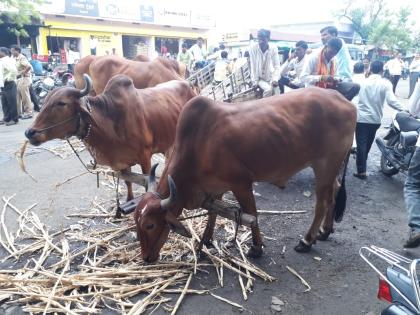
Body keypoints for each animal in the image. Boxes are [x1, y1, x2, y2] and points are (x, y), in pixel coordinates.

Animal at [25, 74, 199, 202]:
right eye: (45, 101)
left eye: (61, 103)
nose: (29, 132)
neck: (110, 121)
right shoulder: (121, 163)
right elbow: (128, 180)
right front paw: (129, 200)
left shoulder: (145, 157)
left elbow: (146, 183)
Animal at [135, 87, 358, 262]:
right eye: (136, 222)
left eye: (150, 225)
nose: (146, 258)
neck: (198, 145)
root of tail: (346, 102)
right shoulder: (216, 188)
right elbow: (214, 212)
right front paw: (206, 239)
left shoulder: (241, 184)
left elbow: (252, 214)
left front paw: (256, 248)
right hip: (332, 169)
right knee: (334, 193)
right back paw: (324, 231)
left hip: (325, 166)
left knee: (323, 203)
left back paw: (307, 240)